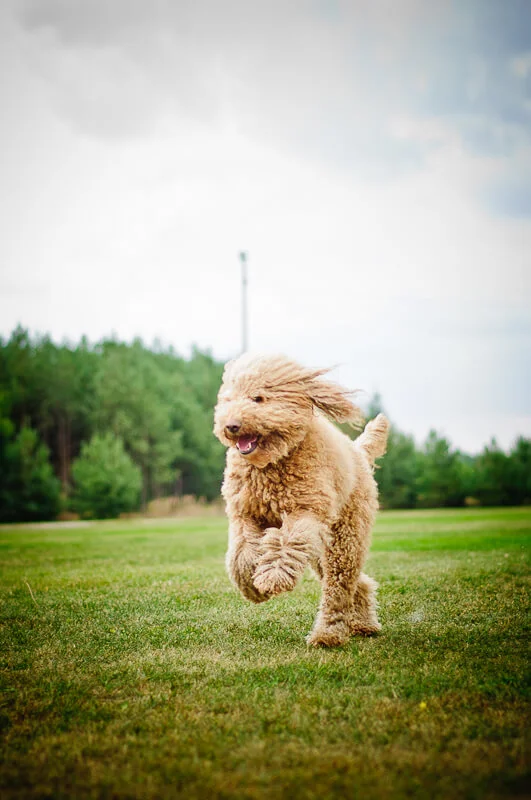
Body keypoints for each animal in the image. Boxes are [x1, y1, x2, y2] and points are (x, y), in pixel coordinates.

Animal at [213, 353, 389, 647]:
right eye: (228, 400)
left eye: (258, 398)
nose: (231, 426)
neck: (272, 462)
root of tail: (358, 453)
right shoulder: (244, 513)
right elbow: (241, 553)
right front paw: (251, 587)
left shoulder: (305, 510)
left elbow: (285, 543)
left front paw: (272, 577)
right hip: (319, 548)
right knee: (358, 584)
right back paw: (363, 624)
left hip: (345, 537)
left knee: (339, 585)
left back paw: (328, 634)